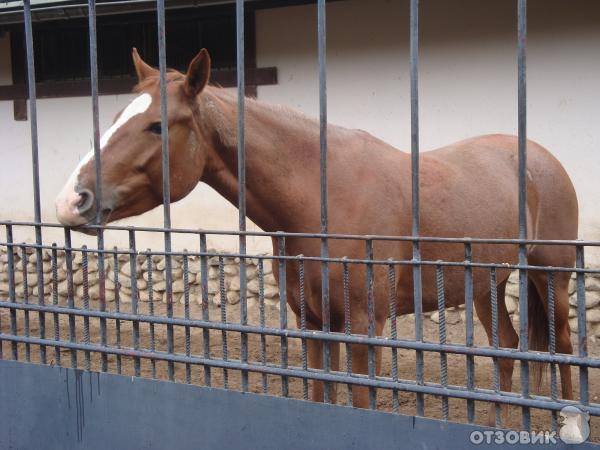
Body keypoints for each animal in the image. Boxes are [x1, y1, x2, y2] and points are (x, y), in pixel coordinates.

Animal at [55, 49, 576, 422]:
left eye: (157, 125)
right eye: (116, 118)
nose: (71, 200)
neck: (321, 197)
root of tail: (542, 158)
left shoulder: (365, 326)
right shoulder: (312, 321)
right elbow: (319, 393)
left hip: (551, 275)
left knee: (564, 347)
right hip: (486, 282)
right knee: (507, 350)